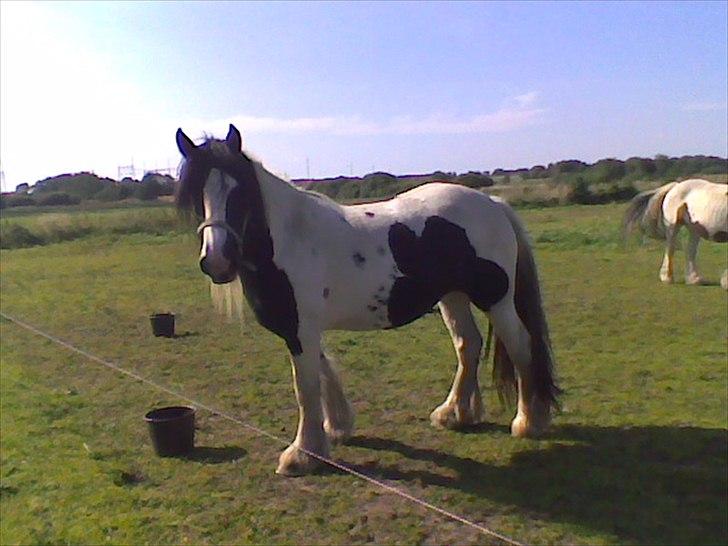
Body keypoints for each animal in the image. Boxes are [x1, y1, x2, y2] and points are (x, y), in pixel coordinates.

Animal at [173, 125, 560, 474]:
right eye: (196, 193)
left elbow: (305, 387)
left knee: (521, 344)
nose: (217, 261)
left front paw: (302, 455)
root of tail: (492, 203)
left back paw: (528, 422)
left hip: (495, 299)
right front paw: (336, 428)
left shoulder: (301, 329)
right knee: (468, 344)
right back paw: (456, 414)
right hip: (453, 296)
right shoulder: (302, 329)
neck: (292, 239)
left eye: (240, 191)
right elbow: (323, 371)